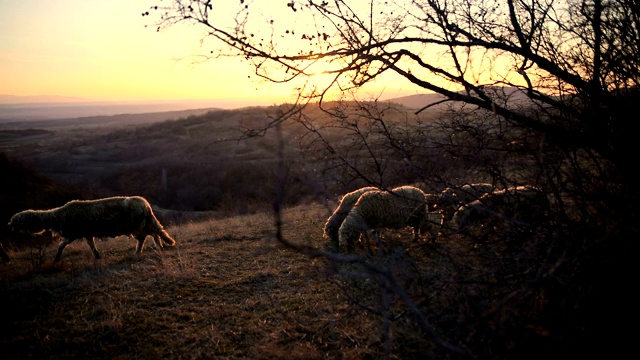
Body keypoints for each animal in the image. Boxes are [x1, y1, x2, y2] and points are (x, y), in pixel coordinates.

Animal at [8, 195, 178, 262]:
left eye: (17, 220)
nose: (9, 227)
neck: (55, 217)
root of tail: (146, 205)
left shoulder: (73, 233)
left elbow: (61, 245)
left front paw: (56, 259)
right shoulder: (86, 232)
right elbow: (91, 245)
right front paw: (97, 256)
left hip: (136, 225)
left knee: (144, 237)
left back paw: (138, 251)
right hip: (143, 223)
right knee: (155, 232)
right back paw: (159, 246)